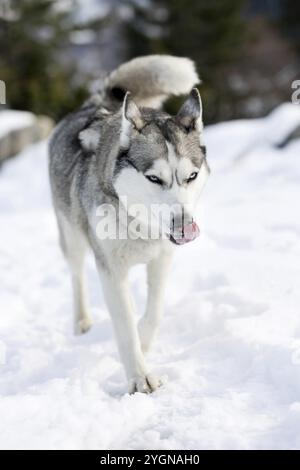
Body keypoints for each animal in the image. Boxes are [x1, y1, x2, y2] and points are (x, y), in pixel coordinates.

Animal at [48, 54, 209, 392]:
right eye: (154, 178)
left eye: (191, 176)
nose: (185, 226)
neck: (139, 226)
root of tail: (97, 104)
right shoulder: (111, 270)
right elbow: (124, 326)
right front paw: (139, 378)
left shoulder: (162, 259)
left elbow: (154, 312)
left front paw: (145, 342)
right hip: (72, 237)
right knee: (77, 275)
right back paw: (81, 322)